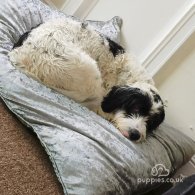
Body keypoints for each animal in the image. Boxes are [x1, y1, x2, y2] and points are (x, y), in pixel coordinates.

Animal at [8, 17, 165, 142]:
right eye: (135, 108)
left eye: (151, 122)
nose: (135, 135)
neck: (129, 78)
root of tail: (19, 56)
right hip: (89, 68)